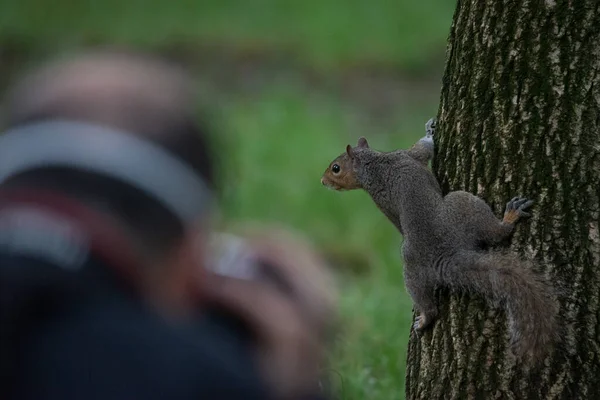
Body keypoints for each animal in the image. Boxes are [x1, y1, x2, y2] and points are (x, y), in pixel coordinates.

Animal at [322, 119, 560, 362]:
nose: (323, 181)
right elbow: (425, 148)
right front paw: (429, 130)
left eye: (335, 168)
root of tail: (445, 256)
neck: (371, 166)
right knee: (496, 234)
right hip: (463, 204)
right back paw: (509, 217)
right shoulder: (407, 155)